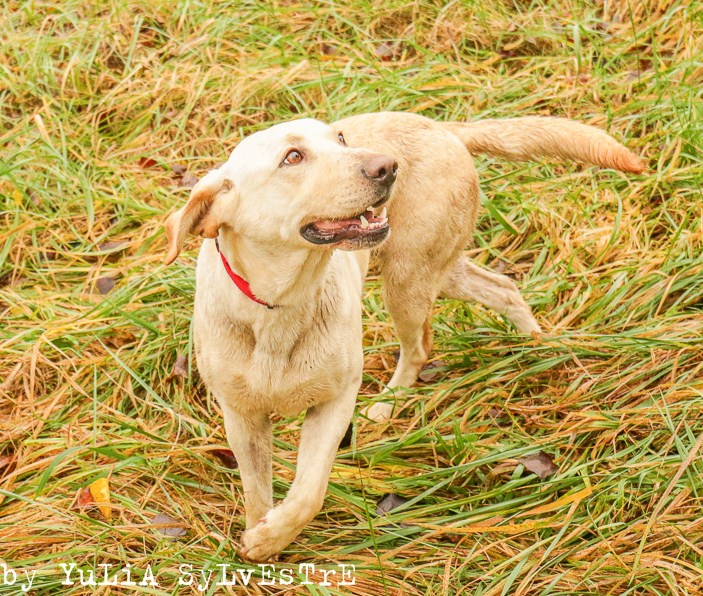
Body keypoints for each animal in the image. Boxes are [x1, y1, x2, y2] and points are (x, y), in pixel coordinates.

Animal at [164, 113, 644, 564]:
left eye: (341, 138)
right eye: (293, 157)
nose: (387, 166)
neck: (282, 304)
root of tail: (443, 127)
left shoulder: (335, 402)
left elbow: (308, 494)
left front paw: (269, 537)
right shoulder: (241, 418)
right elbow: (255, 492)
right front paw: (259, 543)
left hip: (407, 277)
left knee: (419, 348)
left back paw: (394, 401)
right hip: (437, 270)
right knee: (501, 287)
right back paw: (536, 344)